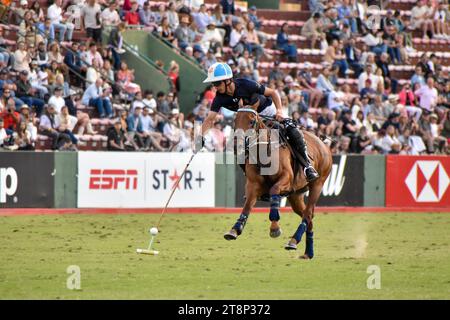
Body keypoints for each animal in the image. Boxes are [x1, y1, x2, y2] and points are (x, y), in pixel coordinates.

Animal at [225, 107, 334, 260]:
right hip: (295, 195)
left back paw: (293, 240)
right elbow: (247, 206)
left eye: (252, 121)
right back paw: (308, 252)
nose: (237, 145)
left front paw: (275, 227)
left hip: (317, 184)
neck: (264, 154)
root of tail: (324, 144)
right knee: (309, 216)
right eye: (235, 120)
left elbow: (274, 191)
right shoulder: (253, 185)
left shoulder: (286, 179)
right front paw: (235, 229)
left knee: (307, 214)